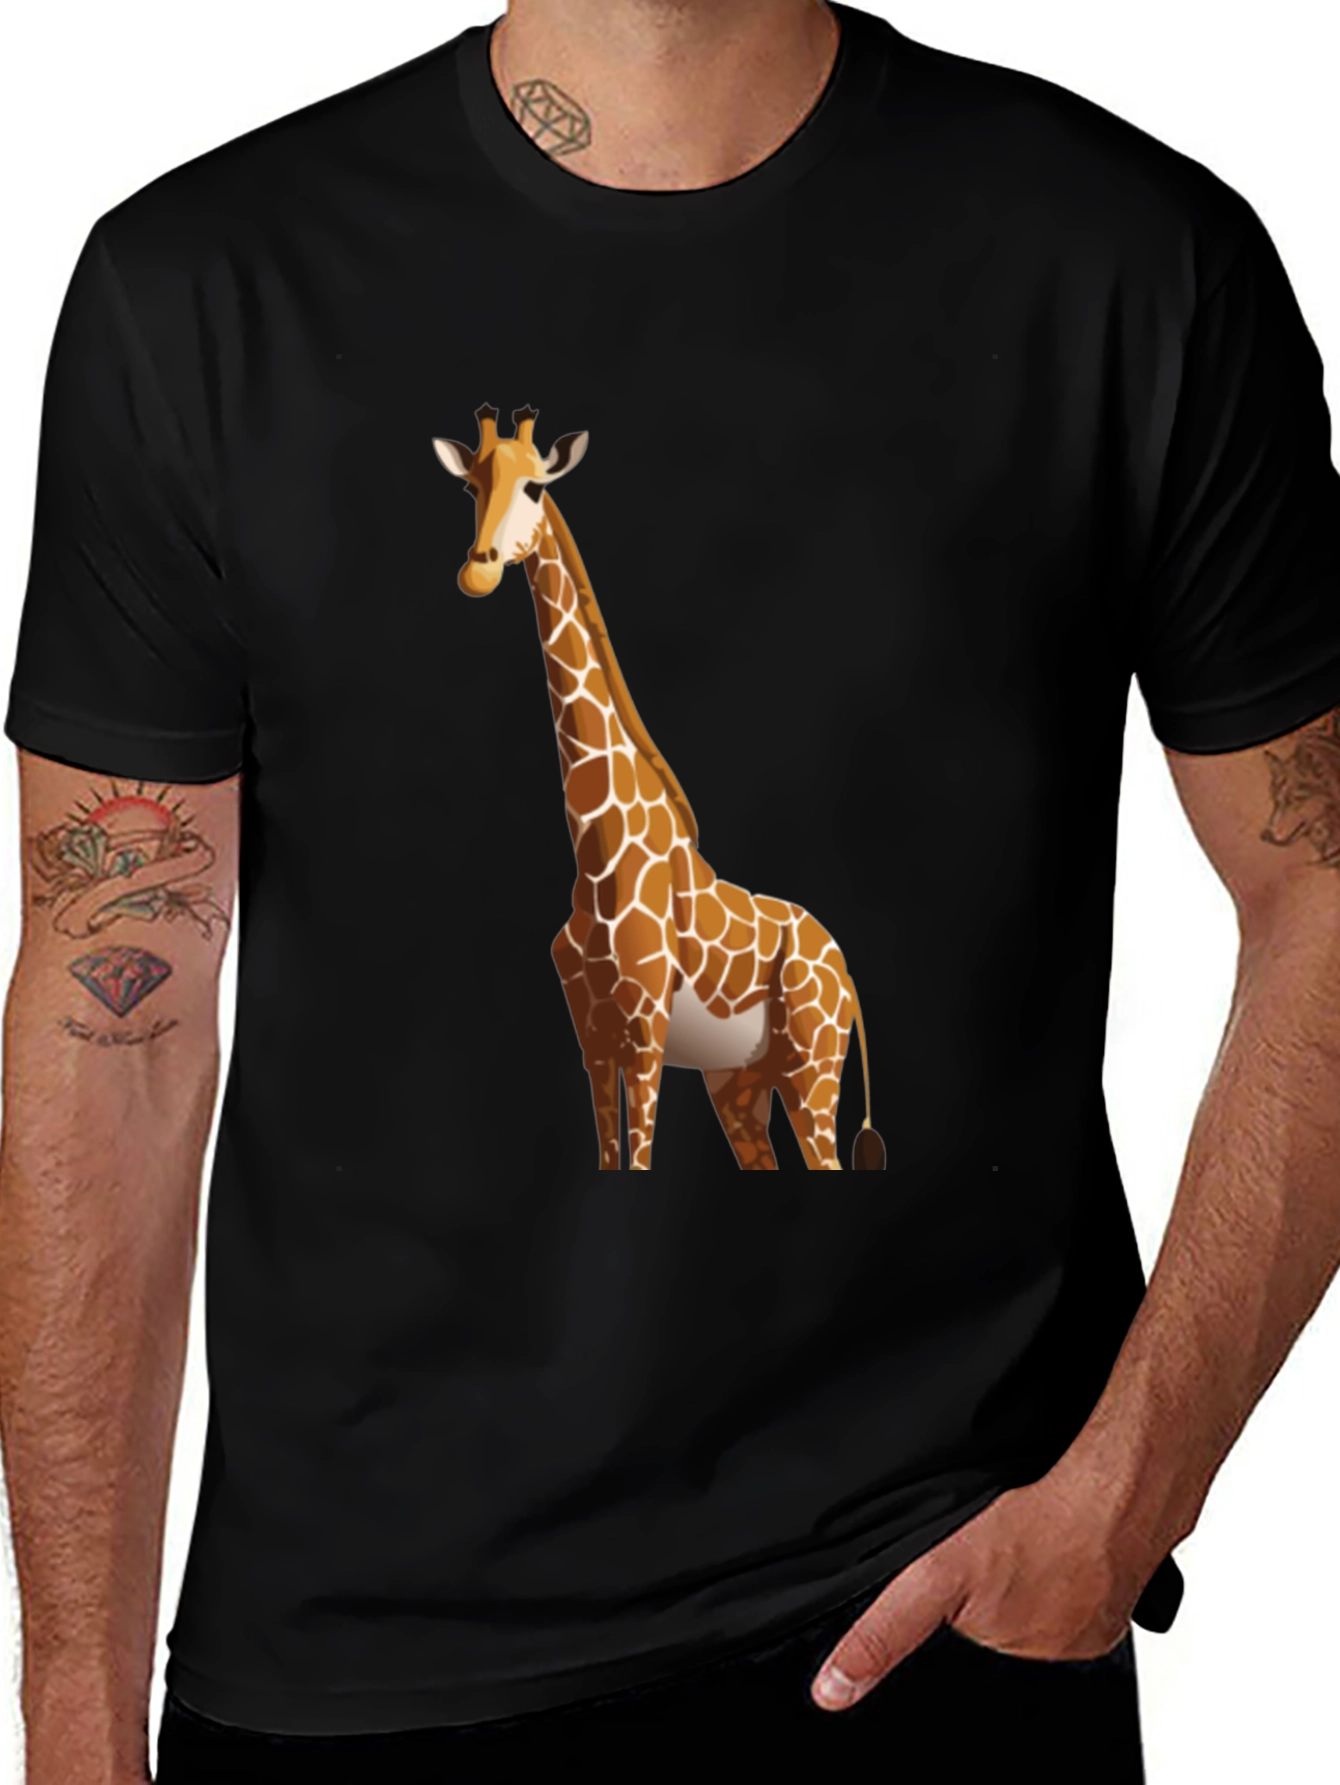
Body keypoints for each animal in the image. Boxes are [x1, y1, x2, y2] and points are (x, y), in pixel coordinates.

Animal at [434, 407, 886, 1173]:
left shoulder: (646, 1034)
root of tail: (847, 973)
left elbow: (641, 1162)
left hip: (812, 1067)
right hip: (740, 1083)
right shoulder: (594, 1041)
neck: (595, 849)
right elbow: (610, 1159)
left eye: (534, 486)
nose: (478, 570)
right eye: (473, 485)